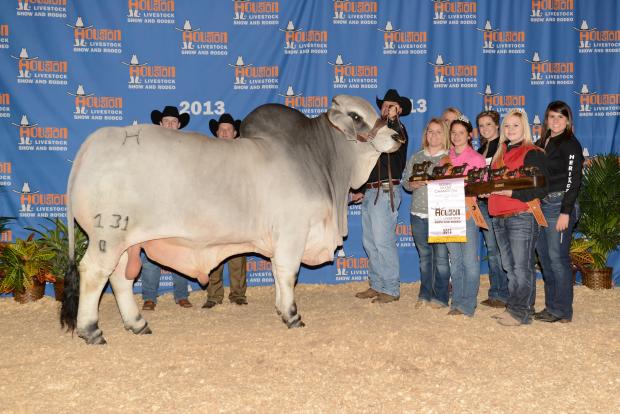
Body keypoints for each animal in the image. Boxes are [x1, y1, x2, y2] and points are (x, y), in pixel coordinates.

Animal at [60, 95, 404, 344]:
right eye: (356, 116)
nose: (397, 136)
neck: (319, 160)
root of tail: (93, 143)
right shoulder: (293, 232)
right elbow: (289, 273)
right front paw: (292, 315)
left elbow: (277, 274)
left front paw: (280, 308)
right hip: (108, 235)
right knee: (94, 274)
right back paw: (92, 331)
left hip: (126, 241)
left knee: (119, 278)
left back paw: (137, 324)